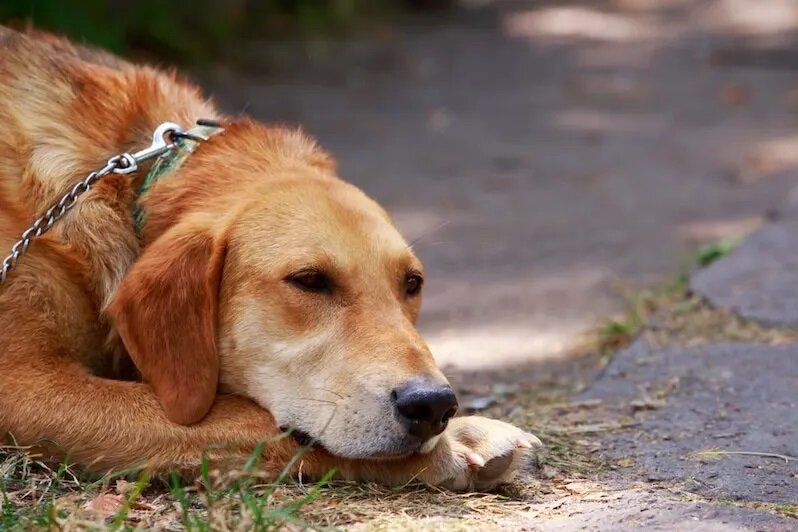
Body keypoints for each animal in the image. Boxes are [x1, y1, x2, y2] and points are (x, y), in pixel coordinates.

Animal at [0, 25, 544, 490]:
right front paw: (456, 443)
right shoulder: (28, 387)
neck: (132, 182)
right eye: (309, 280)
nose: (434, 406)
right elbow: (248, 420)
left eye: (412, 283)